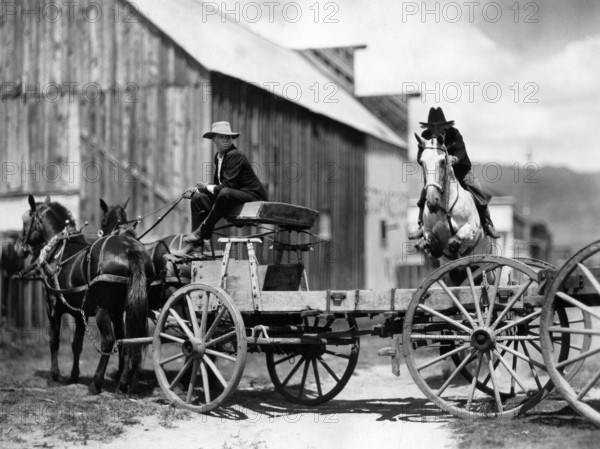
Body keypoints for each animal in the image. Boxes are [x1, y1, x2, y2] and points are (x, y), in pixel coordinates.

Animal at [19, 194, 155, 390]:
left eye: (25, 221)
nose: (20, 246)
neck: (57, 249)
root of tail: (129, 250)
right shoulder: (80, 313)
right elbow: (77, 344)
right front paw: (74, 375)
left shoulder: (52, 305)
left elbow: (54, 340)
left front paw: (55, 375)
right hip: (122, 308)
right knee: (127, 339)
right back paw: (123, 379)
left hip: (103, 309)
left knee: (108, 340)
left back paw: (97, 381)